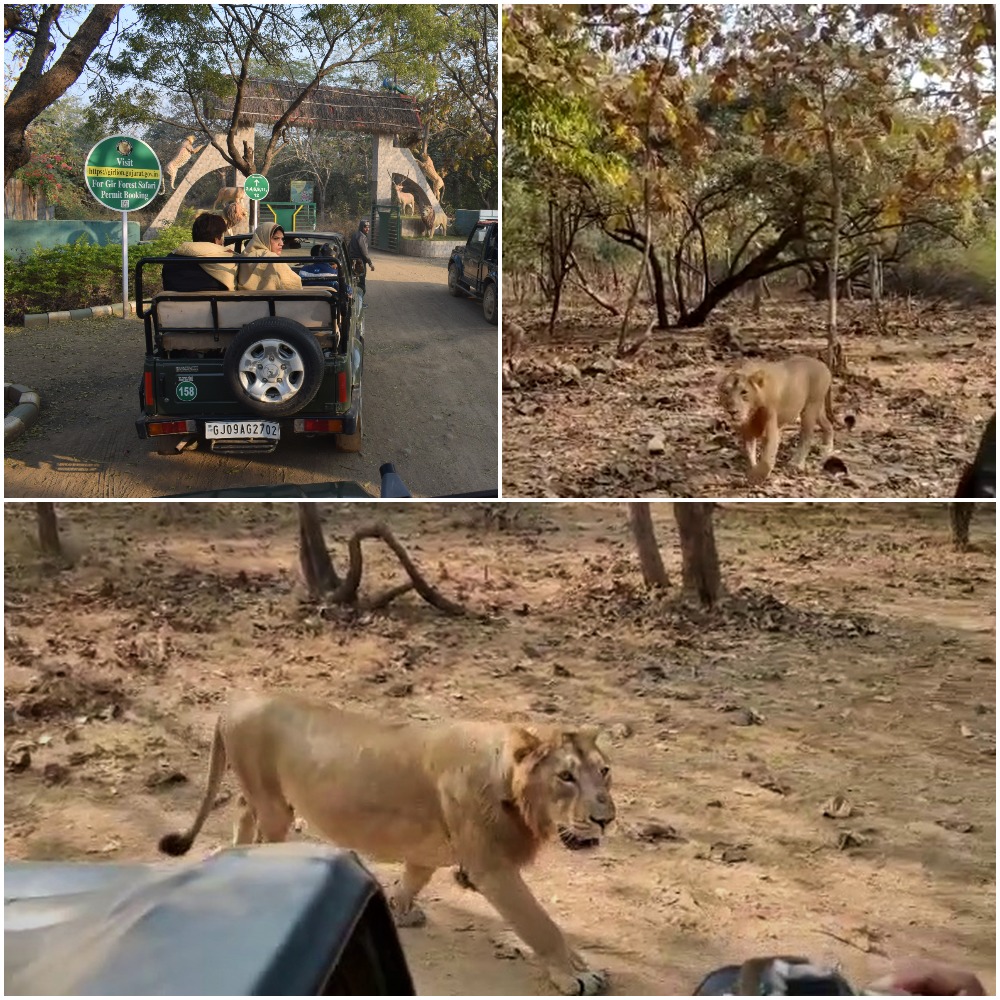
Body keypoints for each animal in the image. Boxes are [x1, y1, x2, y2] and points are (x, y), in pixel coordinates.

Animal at [159, 696, 612, 992]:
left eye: (604, 771)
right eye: (566, 777)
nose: (605, 820)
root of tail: (237, 700)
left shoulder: (433, 850)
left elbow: (414, 877)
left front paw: (400, 909)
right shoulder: (492, 868)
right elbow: (540, 924)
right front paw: (576, 974)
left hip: (263, 797)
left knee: (240, 808)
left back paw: (236, 855)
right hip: (273, 804)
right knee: (259, 825)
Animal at [720, 356, 836, 484]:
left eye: (744, 392)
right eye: (725, 392)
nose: (732, 412)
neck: (752, 412)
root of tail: (823, 365)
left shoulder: (771, 427)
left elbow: (766, 458)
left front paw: (756, 477)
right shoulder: (747, 431)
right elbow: (749, 452)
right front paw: (752, 468)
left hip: (810, 408)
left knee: (807, 437)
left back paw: (796, 464)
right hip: (817, 408)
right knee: (828, 424)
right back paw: (827, 447)